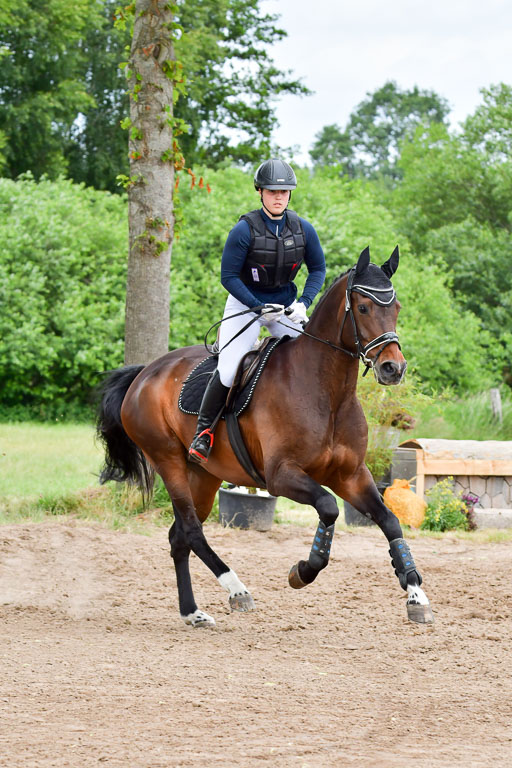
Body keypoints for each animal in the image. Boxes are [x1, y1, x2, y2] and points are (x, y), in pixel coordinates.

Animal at [96, 246, 434, 627]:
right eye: (363, 307)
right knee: (193, 531)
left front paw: (416, 594)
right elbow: (329, 508)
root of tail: (145, 373)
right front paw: (304, 570)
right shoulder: (281, 476)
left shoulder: (351, 476)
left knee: (179, 536)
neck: (327, 391)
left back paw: (192, 612)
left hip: (204, 475)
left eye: (396, 307)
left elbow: (390, 521)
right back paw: (236, 590)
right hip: (169, 462)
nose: (393, 368)